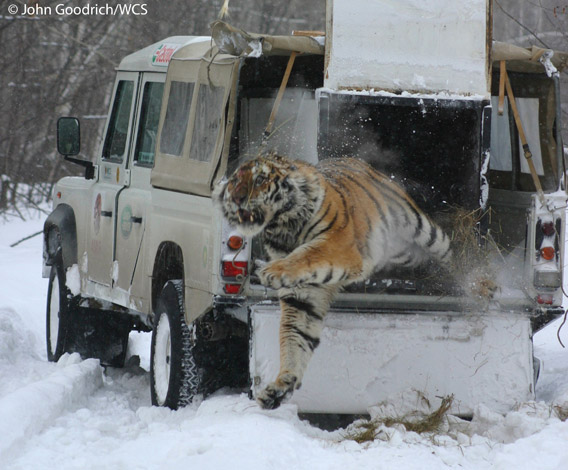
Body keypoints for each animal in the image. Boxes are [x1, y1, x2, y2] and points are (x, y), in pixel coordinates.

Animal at [215, 153, 450, 408]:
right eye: (234, 180)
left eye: (259, 179)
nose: (237, 198)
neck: (283, 228)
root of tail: (357, 160)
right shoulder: (303, 295)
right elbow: (294, 337)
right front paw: (281, 386)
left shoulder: (336, 244)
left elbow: (306, 254)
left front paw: (271, 270)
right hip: (402, 251)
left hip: (421, 230)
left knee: (448, 247)